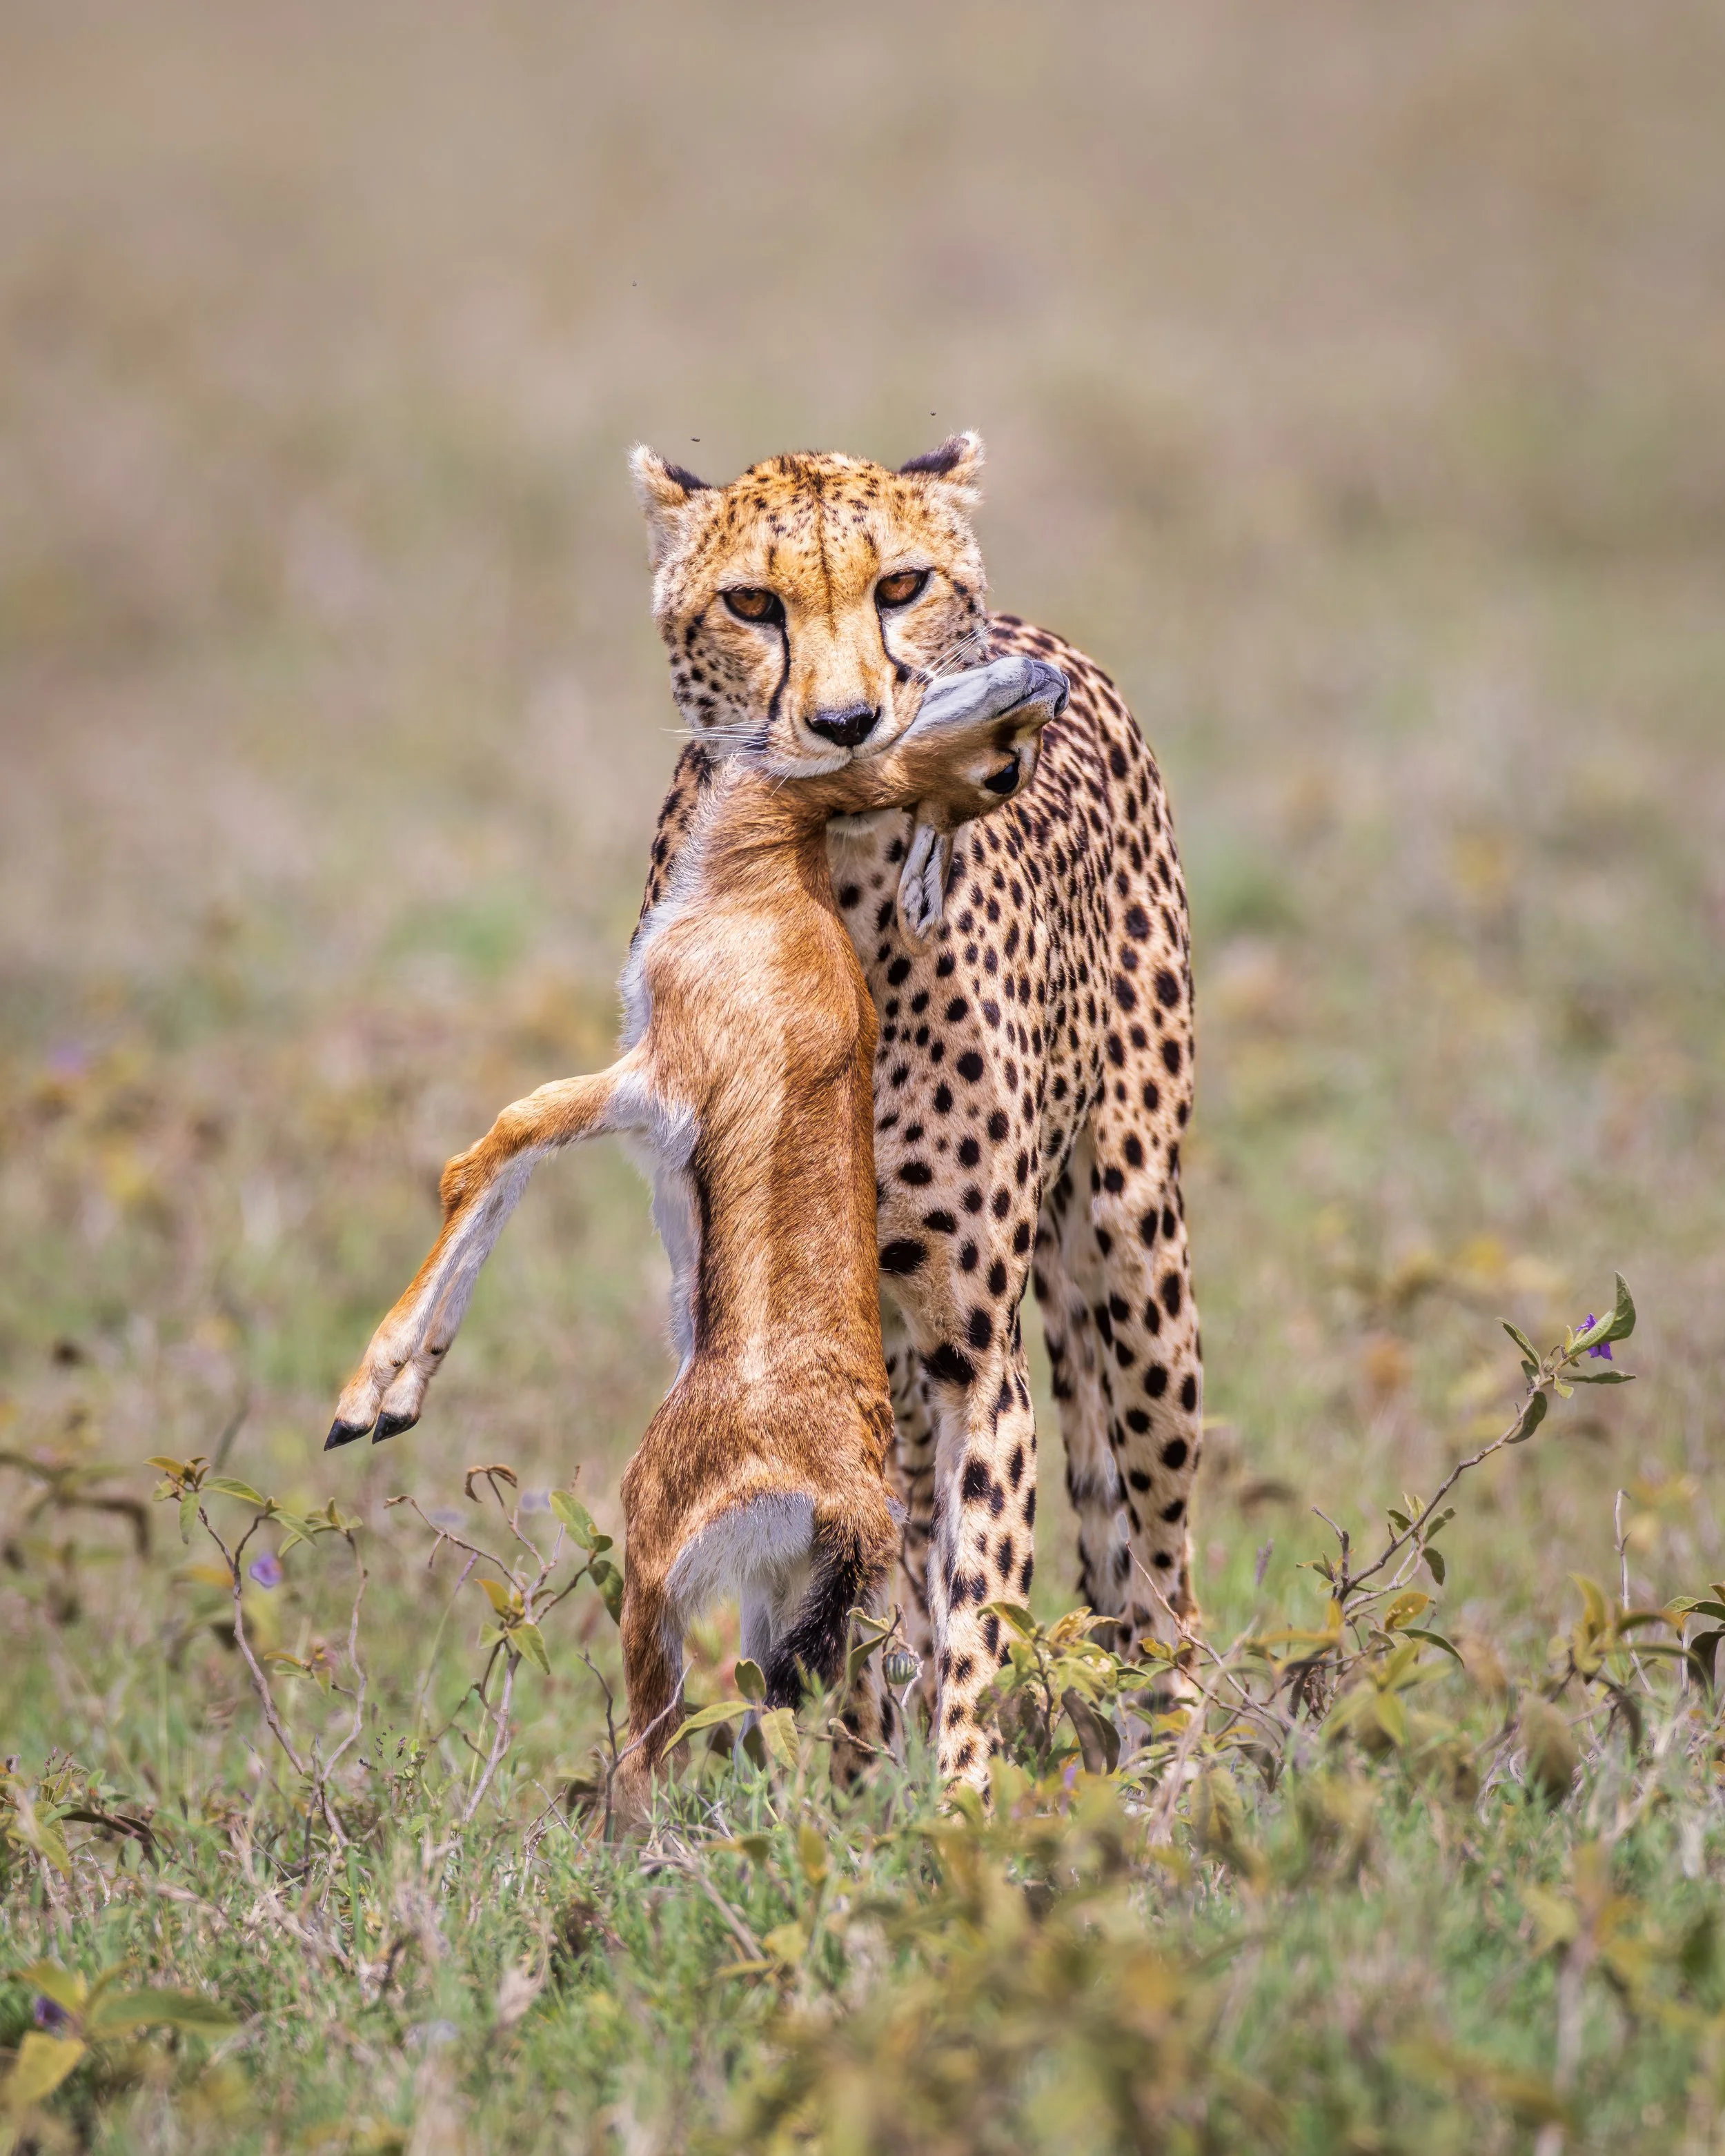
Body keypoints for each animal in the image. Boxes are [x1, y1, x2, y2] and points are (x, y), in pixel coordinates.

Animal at [325, 654, 1068, 1806]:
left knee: (650, 1752)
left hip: (657, 1574)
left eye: (1003, 768)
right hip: (783, 1609)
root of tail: (844, 1504)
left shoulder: (656, 1079)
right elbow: (510, 1162)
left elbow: (498, 1141)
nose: (1045, 679)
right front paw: (405, 1386)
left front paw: (369, 1396)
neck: (764, 873)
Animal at [631, 430, 1201, 1787]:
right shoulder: (759, 1341)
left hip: (1136, 1245)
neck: (827, 879)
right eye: (752, 604)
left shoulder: (972, 1351)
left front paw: (958, 1806)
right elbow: (863, 1596)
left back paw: (1176, 1777)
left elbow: (980, 1599)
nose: (847, 726)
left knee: (1162, 1560)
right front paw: (851, 1789)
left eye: (899, 586)